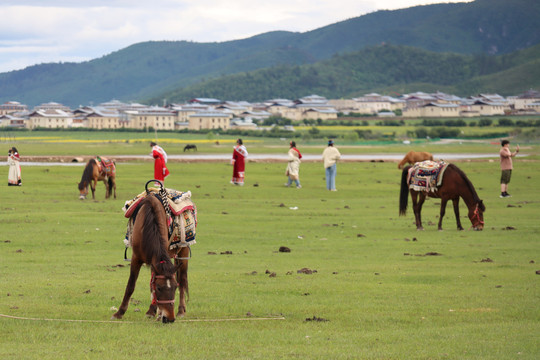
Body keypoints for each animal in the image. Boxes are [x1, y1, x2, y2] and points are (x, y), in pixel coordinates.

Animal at [109, 194, 190, 324]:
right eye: (159, 288)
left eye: (174, 287)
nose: (170, 319)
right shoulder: (137, 258)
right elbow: (131, 285)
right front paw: (119, 313)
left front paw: (156, 313)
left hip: (183, 251)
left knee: (182, 279)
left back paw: (181, 311)